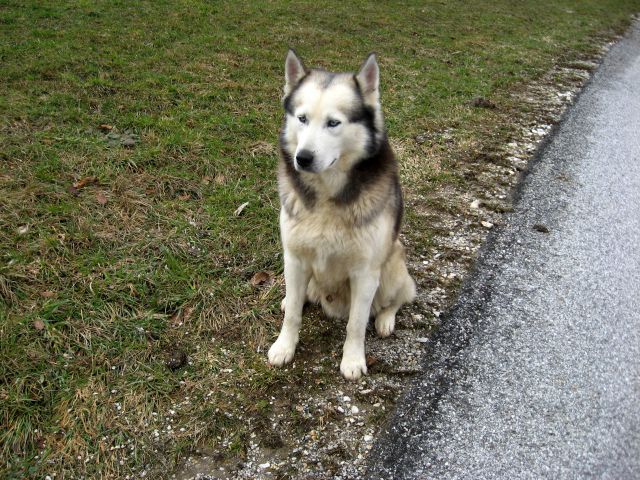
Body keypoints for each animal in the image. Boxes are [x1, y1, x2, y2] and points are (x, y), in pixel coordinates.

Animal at [268, 49, 418, 378]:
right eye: (302, 119)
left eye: (333, 123)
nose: (302, 158)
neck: (327, 194)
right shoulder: (294, 258)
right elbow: (293, 315)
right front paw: (284, 347)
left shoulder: (365, 272)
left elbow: (356, 324)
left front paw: (352, 360)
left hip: (392, 264)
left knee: (398, 298)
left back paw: (386, 319)